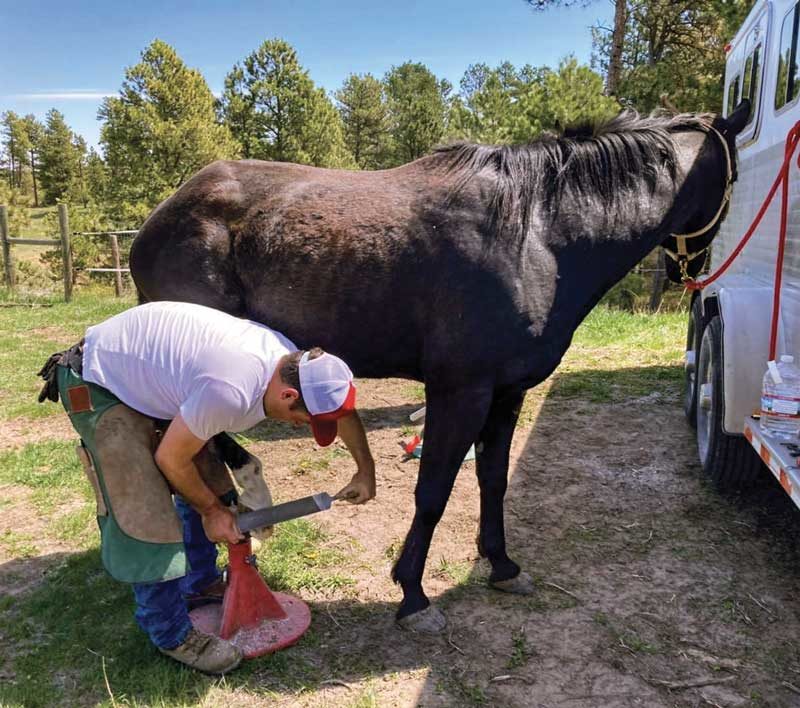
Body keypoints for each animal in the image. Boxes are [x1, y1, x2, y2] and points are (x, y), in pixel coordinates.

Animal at [130, 102, 752, 632]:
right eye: (735, 178)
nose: (691, 269)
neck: (538, 235)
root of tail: (159, 220)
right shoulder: (460, 391)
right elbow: (433, 490)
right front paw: (412, 593)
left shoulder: (507, 393)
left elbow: (493, 478)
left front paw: (501, 565)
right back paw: (252, 506)